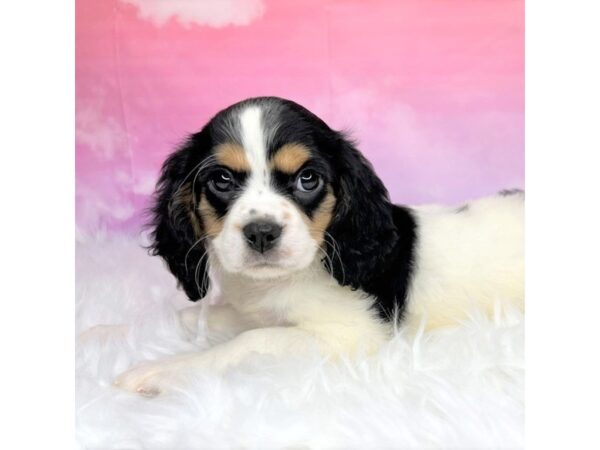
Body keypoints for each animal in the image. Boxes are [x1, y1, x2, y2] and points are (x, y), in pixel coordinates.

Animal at [115, 96, 524, 396]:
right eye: (222, 180)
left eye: (307, 179)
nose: (261, 232)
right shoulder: (256, 311)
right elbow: (194, 317)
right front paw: (108, 332)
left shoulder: (352, 334)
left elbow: (248, 341)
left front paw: (160, 369)